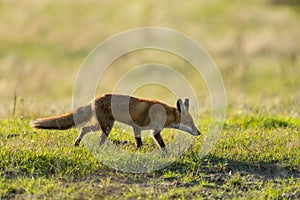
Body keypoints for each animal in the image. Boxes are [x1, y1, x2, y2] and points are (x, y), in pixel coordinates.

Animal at [31, 94, 202, 148]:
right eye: (190, 123)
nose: (199, 132)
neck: (164, 113)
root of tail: (94, 99)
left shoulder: (137, 127)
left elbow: (139, 142)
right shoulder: (153, 131)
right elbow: (161, 145)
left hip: (100, 125)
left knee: (84, 129)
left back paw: (77, 144)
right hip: (107, 126)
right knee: (97, 137)